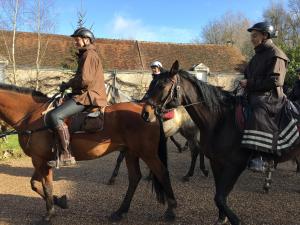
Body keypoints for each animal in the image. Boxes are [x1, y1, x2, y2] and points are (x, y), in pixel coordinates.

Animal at [0, 82, 178, 221]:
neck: (31, 115)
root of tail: (146, 111)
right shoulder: (41, 160)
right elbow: (35, 184)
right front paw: (60, 202)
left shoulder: (39, 160)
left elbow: (46, 186)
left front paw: (49, 214)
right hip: (130, 152)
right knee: (135, 178)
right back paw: (120, 212)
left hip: (147, 153)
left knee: (162, 173)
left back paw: (171, 211)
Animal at [141, 60, 300, 225]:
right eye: (151, 83)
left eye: (162, 85)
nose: (145, 113)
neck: (221, 120)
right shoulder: (217, 162)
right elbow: (220, 195)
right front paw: (222, 218)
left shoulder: (235, 165)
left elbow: (220, 197)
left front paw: (234, 220)